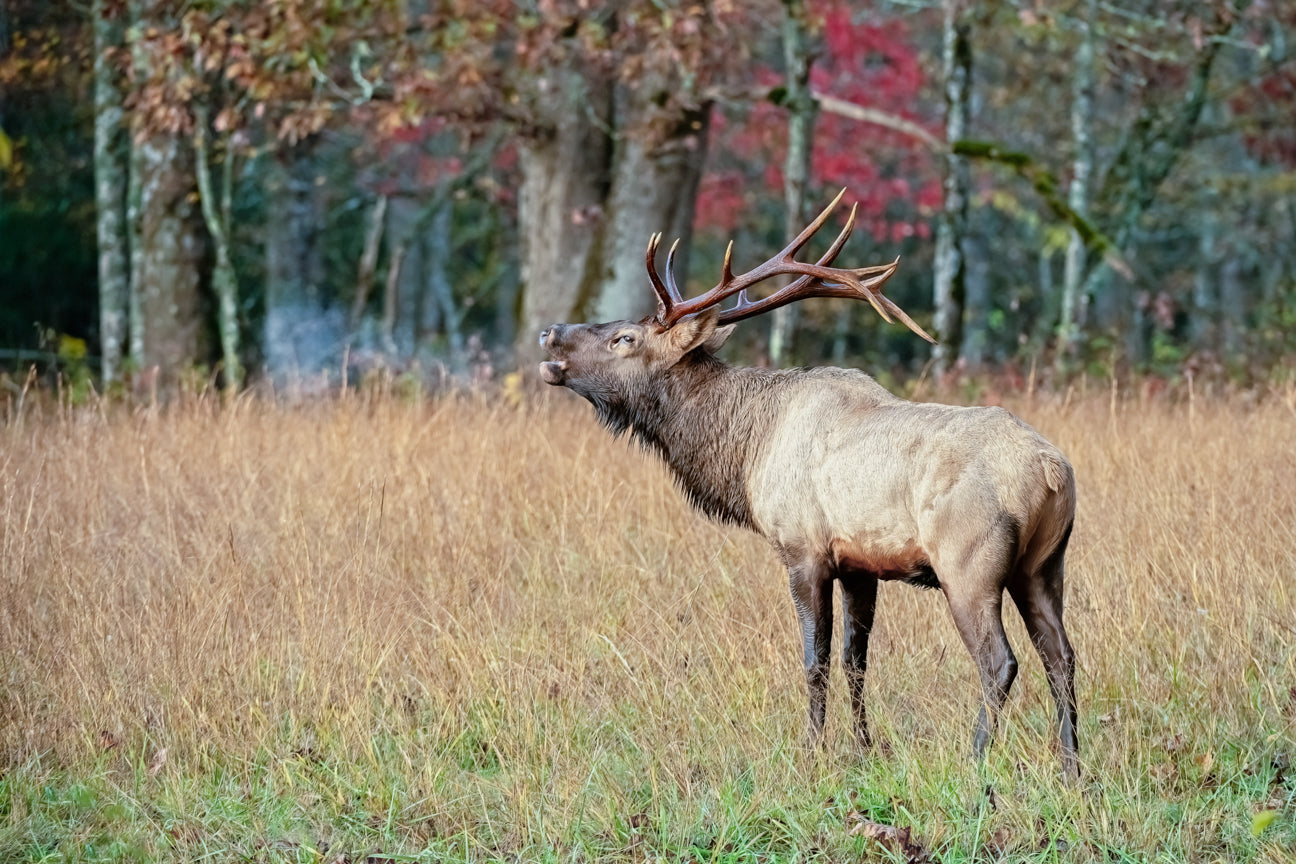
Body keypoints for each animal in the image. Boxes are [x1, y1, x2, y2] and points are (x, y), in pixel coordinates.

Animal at [536, 193, 1073, 782]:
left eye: (624, 338)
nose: (549, 331)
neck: (745, 451)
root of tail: (1051, 470)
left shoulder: (803, 549)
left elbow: (815, 660)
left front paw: (811, 753)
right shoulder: (861, 564)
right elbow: (856, 660)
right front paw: (864, 749)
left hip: (969, 562)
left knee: (1000, 661)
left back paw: (975, 758)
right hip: (1043, 565)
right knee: (1062, 656)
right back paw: (1072, 768)